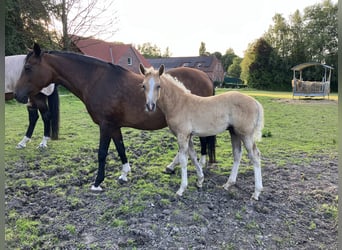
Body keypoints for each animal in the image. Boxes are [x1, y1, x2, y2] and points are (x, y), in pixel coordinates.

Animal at [14, 44, 216, 190]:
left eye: (28, 67)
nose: (17, 95)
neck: (96, 80)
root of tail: (205, 76)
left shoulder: (105, 125)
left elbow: (102, 153)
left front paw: (97, 182)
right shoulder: (114, 126)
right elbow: (120, 148)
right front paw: (124, 174)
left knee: (203, 142)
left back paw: (199, 166)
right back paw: (173, 167)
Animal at [139, 65, 264, 201]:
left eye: (158, 86)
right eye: (143, 86)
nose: (150, 106)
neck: (178, 103)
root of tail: (255, 102)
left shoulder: (182, 135)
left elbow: (184, 159)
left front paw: (181, 189)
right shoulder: (189, 136)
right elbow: (193, 156)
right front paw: (200, 180)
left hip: (246, 134)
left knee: (255, 155)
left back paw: (256, 192)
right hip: (234, 132)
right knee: (237, 154)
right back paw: (228, 184)